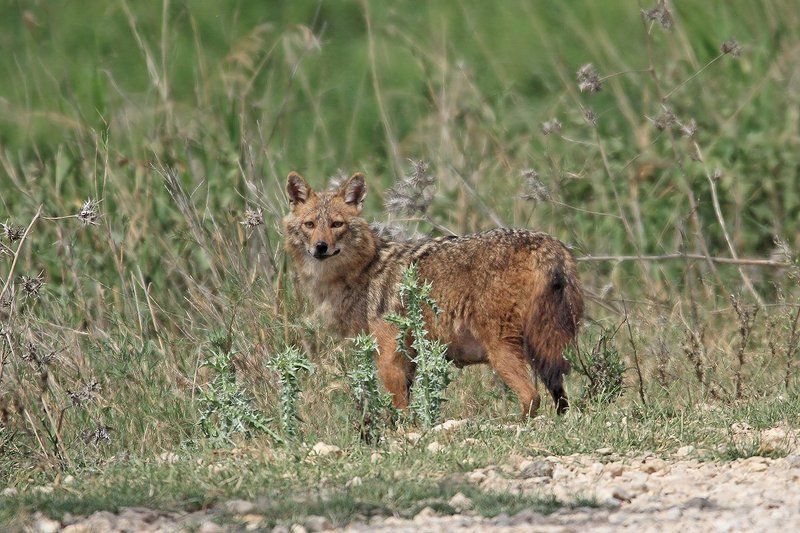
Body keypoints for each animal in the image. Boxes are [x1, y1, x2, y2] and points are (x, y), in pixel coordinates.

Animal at [282, 171, 583, 416]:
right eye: (310, 225)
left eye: (336, 224)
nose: (321, 247)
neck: (362, 272)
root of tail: (548, 244)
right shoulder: (409, 359)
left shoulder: (390, 357)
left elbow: (400, 411)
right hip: (547, 348)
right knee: (560, 398)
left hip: (503, 351)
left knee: (531, 397)